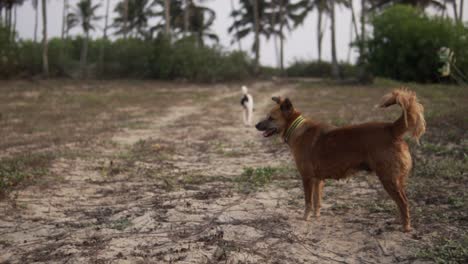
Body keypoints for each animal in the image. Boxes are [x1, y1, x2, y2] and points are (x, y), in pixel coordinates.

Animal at [256, 88, 424, 231]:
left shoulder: (307, 178)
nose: (256, 125)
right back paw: (400, 221)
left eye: (271, 118)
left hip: (388, 178)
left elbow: (308, 202)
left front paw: (305, 218)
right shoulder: (318, 180)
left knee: (403, 202)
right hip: (397, 179)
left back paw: (405, 227)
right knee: (403, 202)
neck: (296, 128)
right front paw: (316, 217)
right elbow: (317, 201)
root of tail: (392, 128)